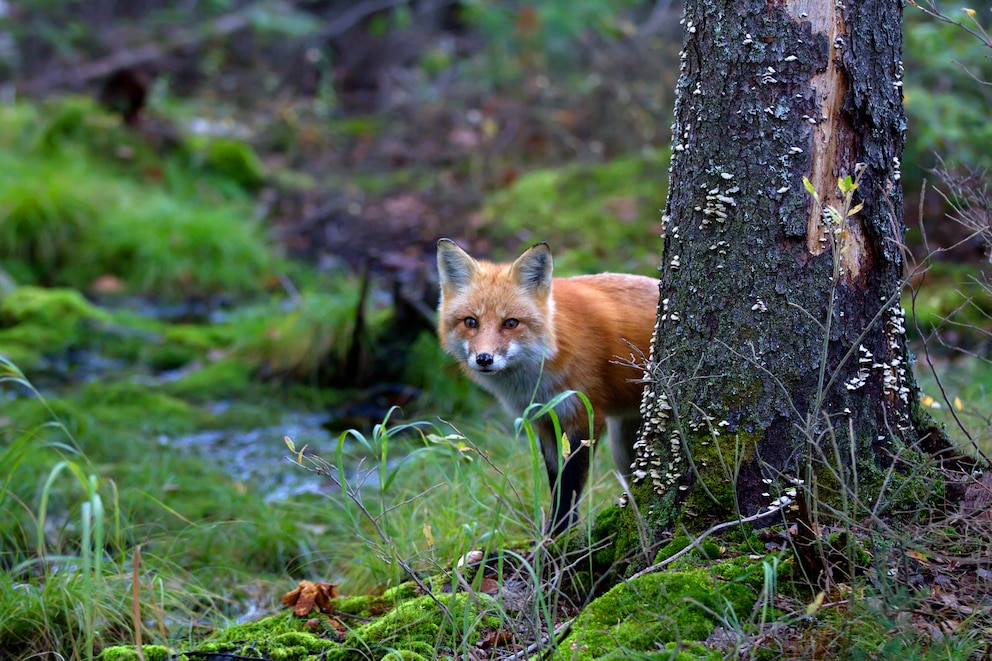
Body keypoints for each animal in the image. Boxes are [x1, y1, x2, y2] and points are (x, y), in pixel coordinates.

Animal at [436, 240, 660, 532]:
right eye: (470, 322)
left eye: (510, 323)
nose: (484, 359)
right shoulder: (544, 418)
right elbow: (555, 480)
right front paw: (556, 532)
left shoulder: (584, 414)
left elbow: (570, 484)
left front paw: (562, 534)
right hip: (623, 445)